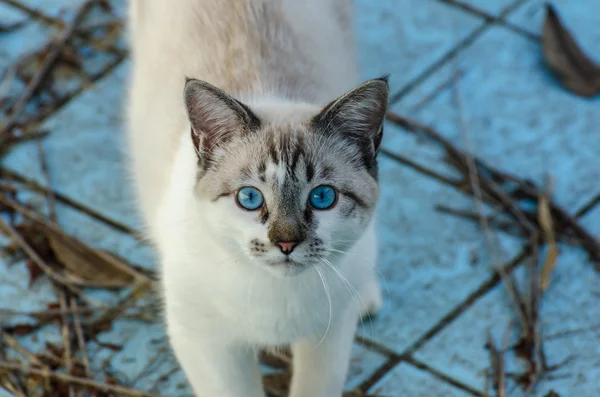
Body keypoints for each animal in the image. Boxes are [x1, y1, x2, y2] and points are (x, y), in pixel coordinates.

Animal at [127, 0, 390, 396]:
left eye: (322, 197)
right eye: (250, 198)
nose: (285, 243)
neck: (276, 298)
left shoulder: (328, 338)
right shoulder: (207, 344)